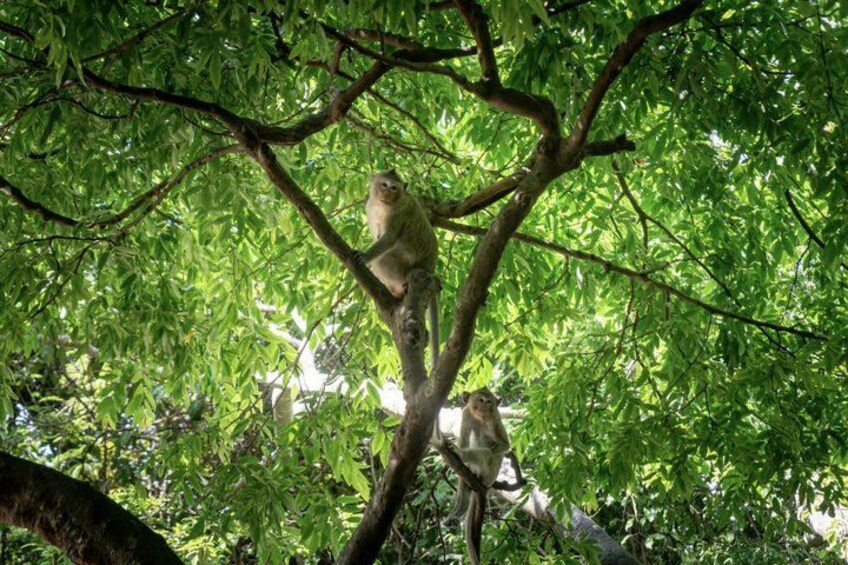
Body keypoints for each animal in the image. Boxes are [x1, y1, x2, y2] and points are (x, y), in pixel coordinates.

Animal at [360, 170, 443, 436]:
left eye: (394, 187)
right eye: (384, 184)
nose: (387, 191)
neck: (383, 205)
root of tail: (430, 271)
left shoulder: (398, 214)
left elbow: (387, 240)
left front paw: (363, 256)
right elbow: (378, 234)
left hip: (401, 267)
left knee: (385, 256)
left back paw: (398, 289)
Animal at [447, 387, 511, 565]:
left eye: (489, 402)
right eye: (480, 400)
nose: (484, 407)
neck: (480, 419)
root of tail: (487, 483)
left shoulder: (495, 417)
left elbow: (504, 446)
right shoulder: (466, 414)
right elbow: (463, 440)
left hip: (488, 473)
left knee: (485, 453)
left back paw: (463, 455)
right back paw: (460, 505)